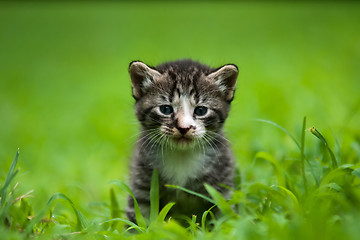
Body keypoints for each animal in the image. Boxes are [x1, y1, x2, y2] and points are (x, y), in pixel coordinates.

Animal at [125, 58, 238, 223]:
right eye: (166, 109)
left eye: (201, 110)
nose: (184, 128)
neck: (181, 156)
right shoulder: (142, 185)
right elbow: (137, 218)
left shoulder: (221, 185)